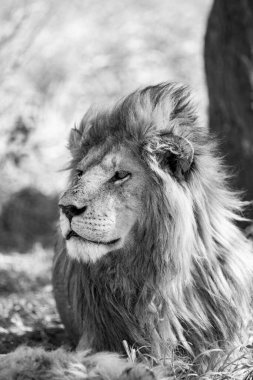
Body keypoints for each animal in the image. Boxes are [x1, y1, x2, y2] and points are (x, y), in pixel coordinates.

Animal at [1, 82, 253, 378]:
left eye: (120, 175)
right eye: (80, 174)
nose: (66, 208)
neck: (159, 276)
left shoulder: (225, 353)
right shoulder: (100, 341)